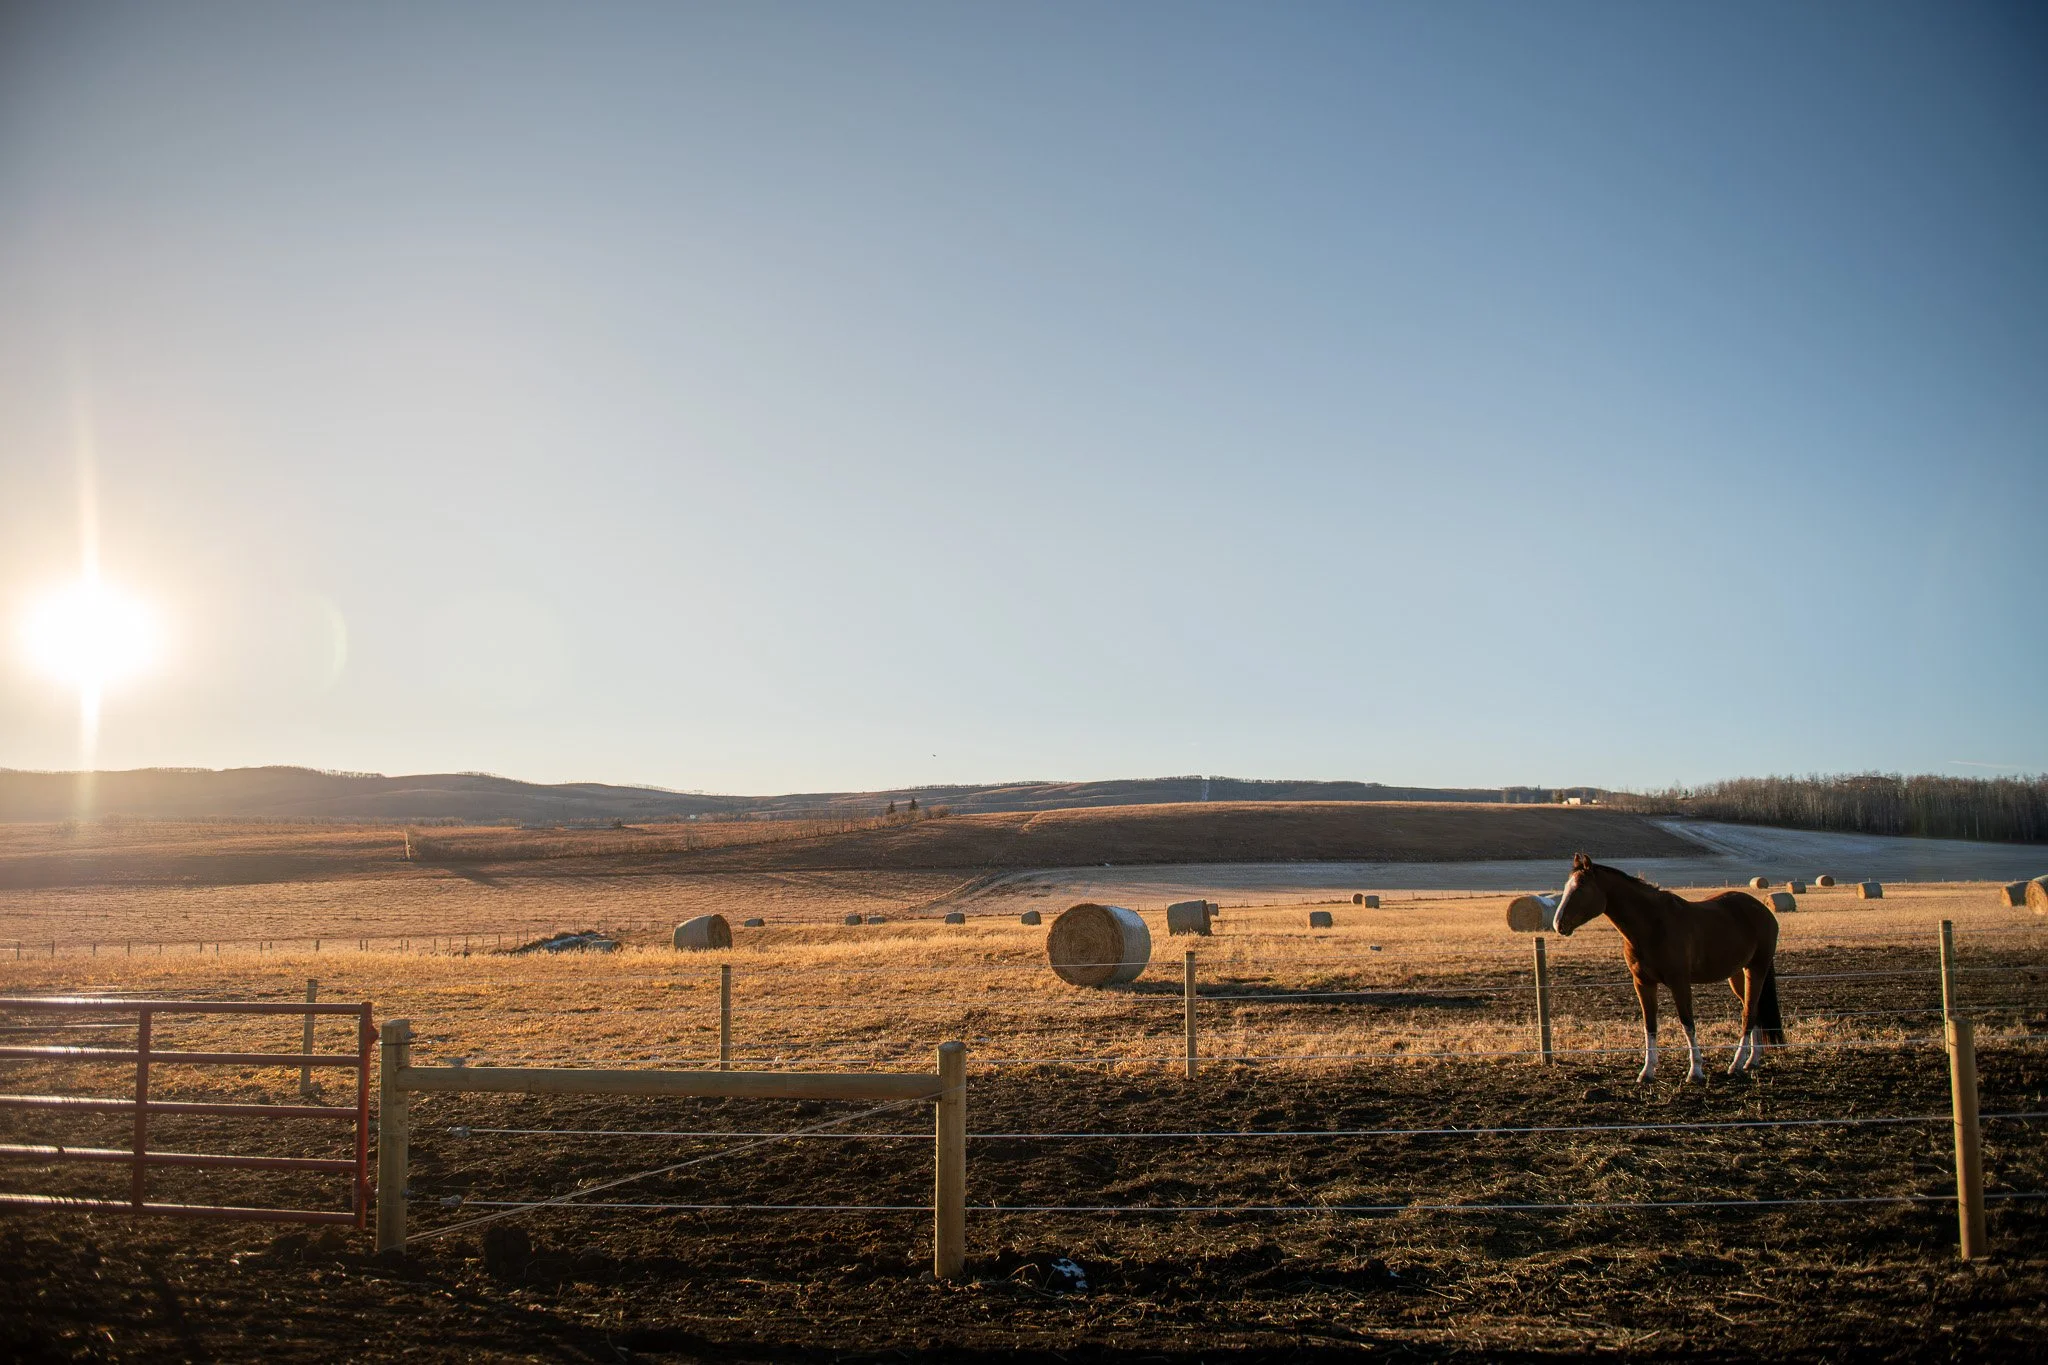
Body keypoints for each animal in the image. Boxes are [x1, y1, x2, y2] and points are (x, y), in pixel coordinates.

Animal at [1552, 852, 1785, 1083]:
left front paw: (1695, 1070)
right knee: (1753, 1010)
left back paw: (1736, 1064)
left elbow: (1687, 1023)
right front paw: (1647, 1071)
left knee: (1748, 1013)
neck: (1652, 925)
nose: (1558, 924)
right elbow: (1650, 1025)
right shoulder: (1643, 983)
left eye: (1580, 887)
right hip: (1738, 975)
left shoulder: (1679, 982)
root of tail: (1763, 910)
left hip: (1756, 969)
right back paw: (1751, 1061)